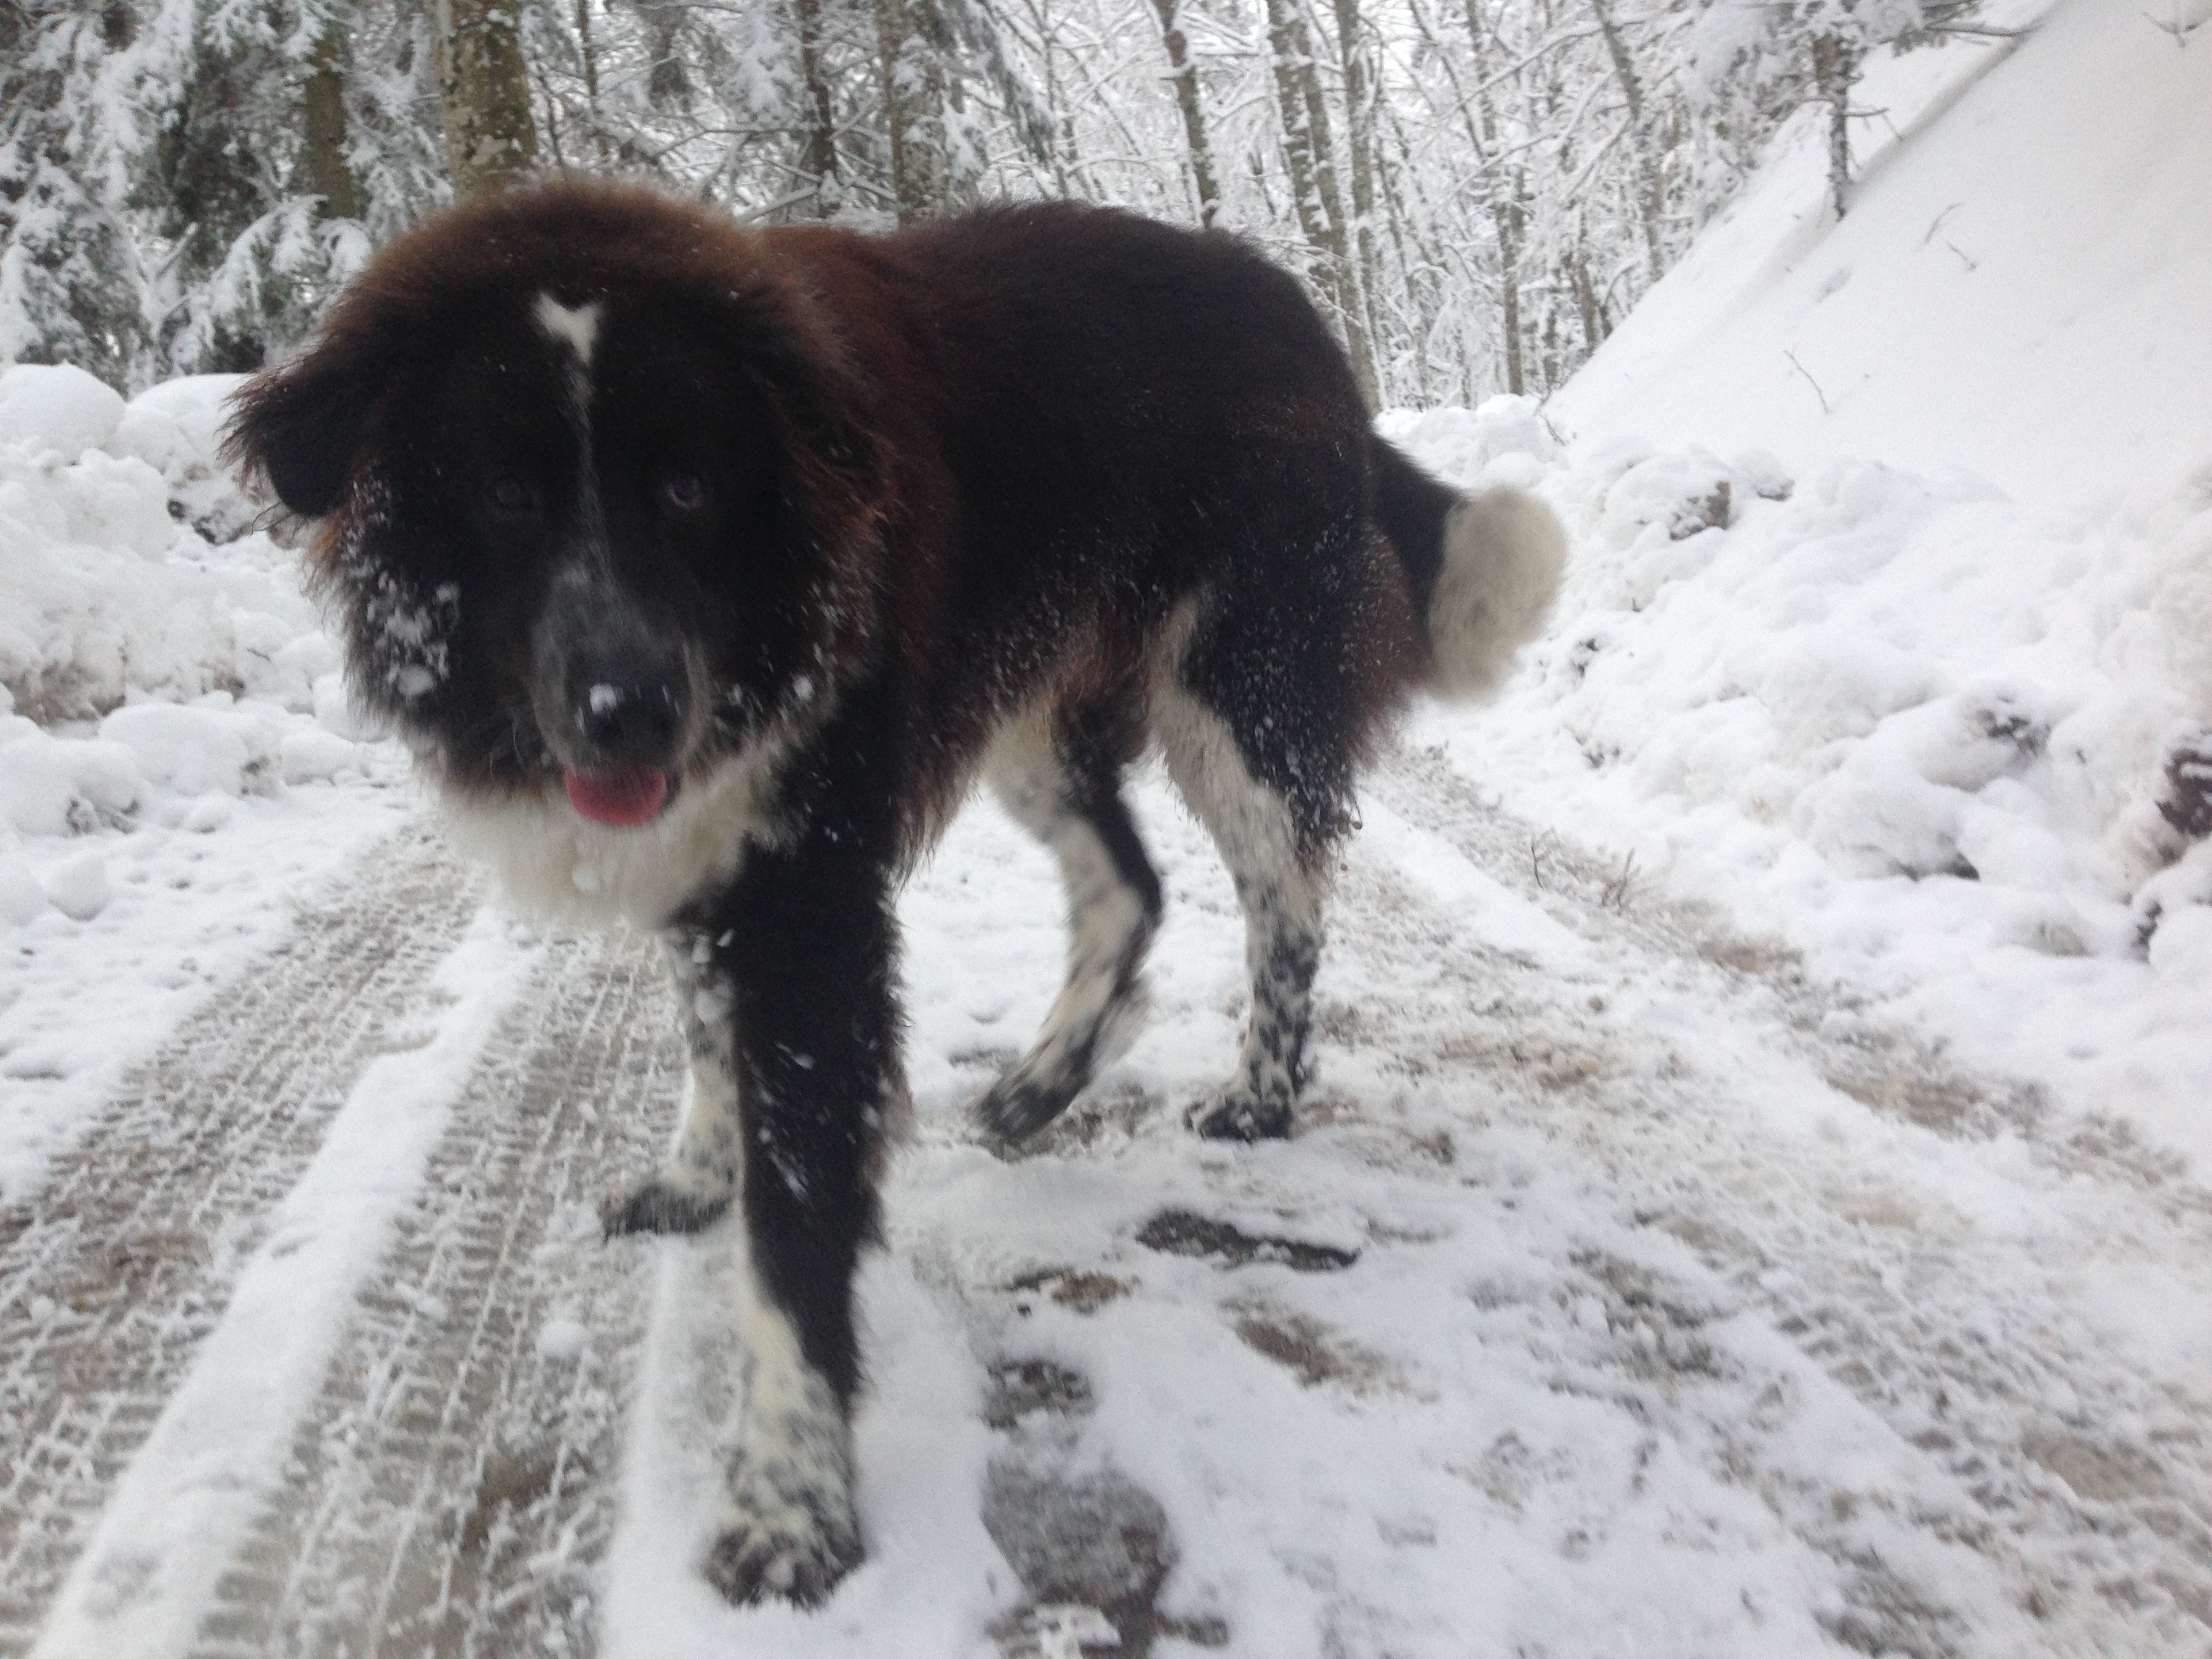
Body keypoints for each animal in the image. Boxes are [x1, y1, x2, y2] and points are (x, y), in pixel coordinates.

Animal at [227, 177, 1565, 1608]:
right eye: (506, 493)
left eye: (689, 486)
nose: (631, 712)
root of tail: (1297, 319)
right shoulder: (713, 856)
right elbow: (706, 1038)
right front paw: (696, 1173)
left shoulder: (808, 910)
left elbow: (793, 1236)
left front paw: (790, 1507)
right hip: (1038, 717)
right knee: (1130, 887)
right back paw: (1041, 1083)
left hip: (1230, 689)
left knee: (1285, 892)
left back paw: (1258, 1099)